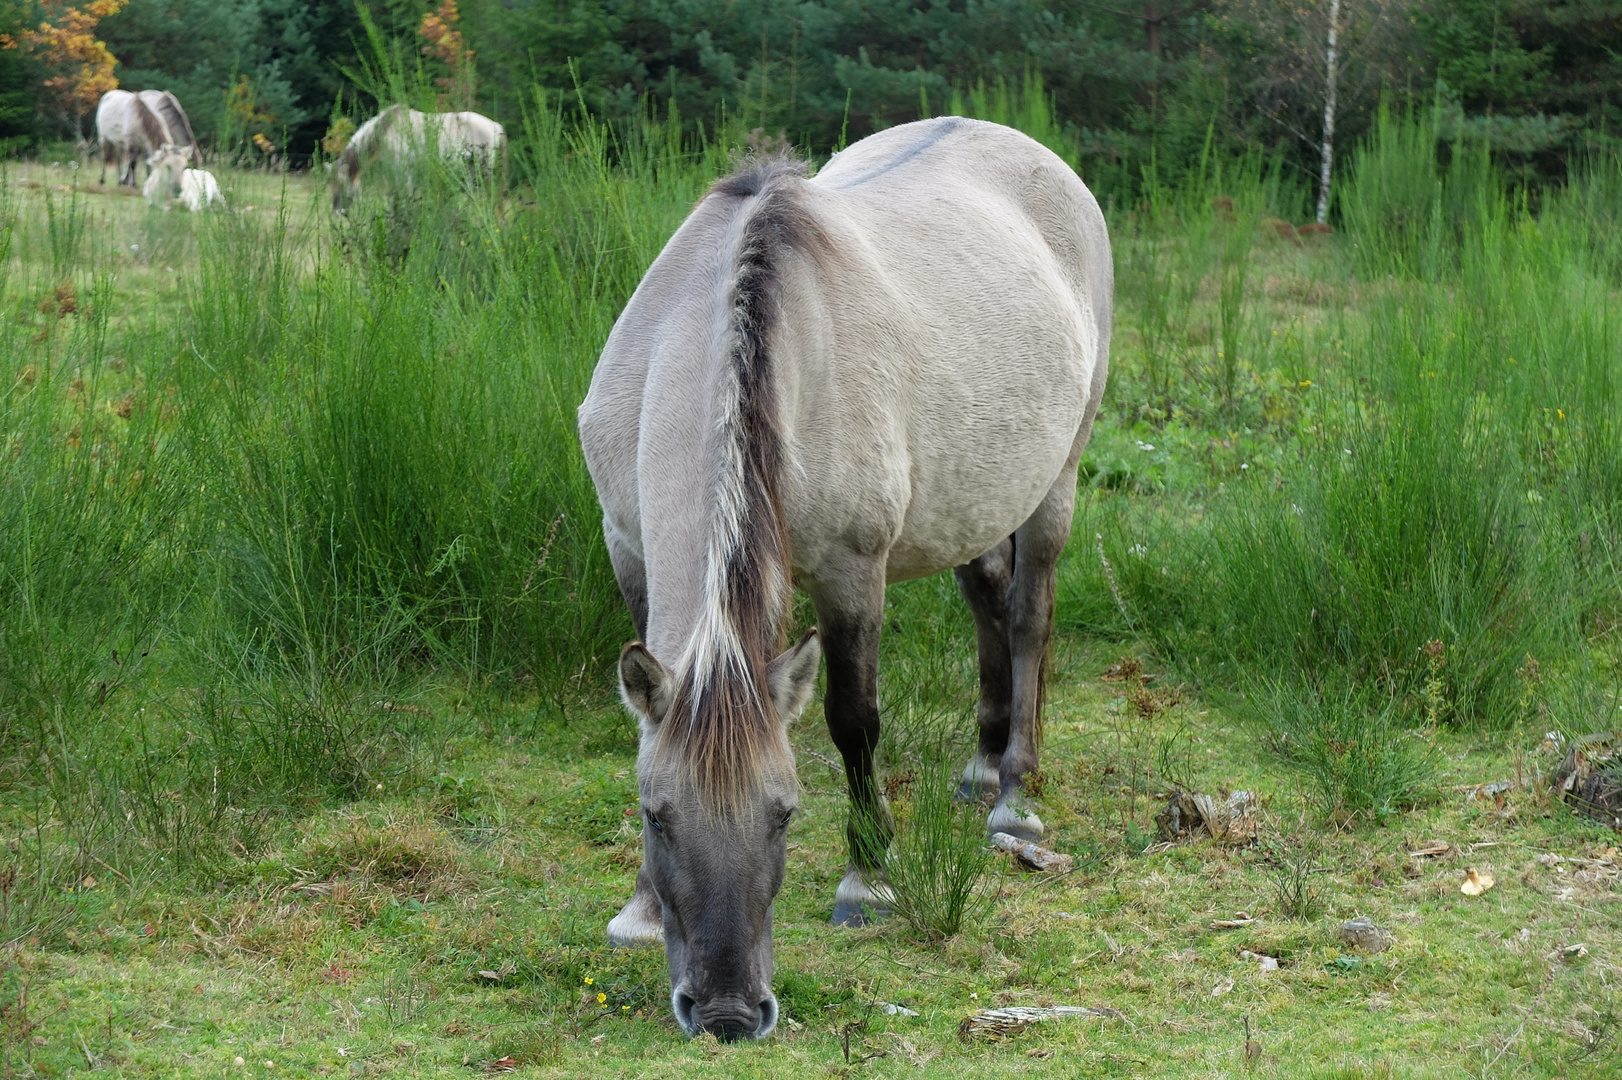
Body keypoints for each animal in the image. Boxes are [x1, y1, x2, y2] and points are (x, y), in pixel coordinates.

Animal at [329, 106, 506, 210]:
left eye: (341, 182)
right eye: (332, 185)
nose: (338, 211)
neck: (387, 130)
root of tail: (496, 127)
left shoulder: (402, 169)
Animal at [577, 115, 1109, 1037]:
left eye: (785, 814)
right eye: (657, 816)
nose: (727, 1013)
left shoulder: (852, 573)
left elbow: (853, 720)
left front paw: (869, 880)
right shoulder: (628, 548)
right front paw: (640, 907)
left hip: (1057, 480)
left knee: (1029, 615)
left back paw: (1014, 792)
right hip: (972, 500)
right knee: (989, 601)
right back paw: (982, 764)